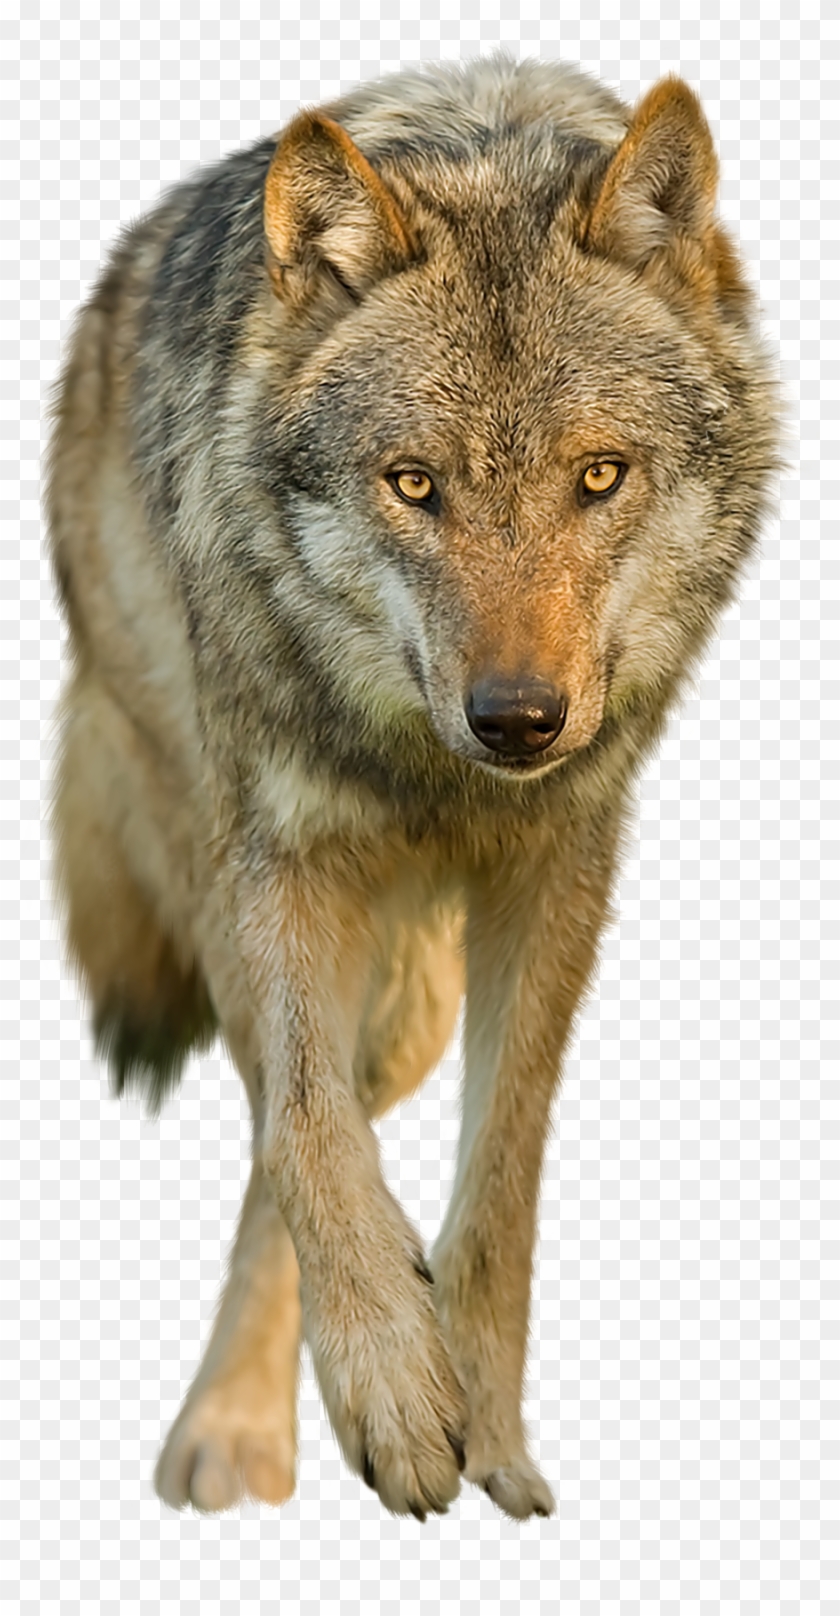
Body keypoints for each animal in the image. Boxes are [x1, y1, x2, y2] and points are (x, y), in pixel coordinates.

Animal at [46, 55, 778, 1521]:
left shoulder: (561, 870)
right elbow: (309, 1130)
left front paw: (483, 1423)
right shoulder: (276, 854)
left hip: (409, 1001)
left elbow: (505, 1166)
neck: (436, 778)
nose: (519, 719)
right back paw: (239, 1427)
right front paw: (392, 1382)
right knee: (283, 1111)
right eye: (413, 484)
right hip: (242, 889)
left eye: (599, 475)